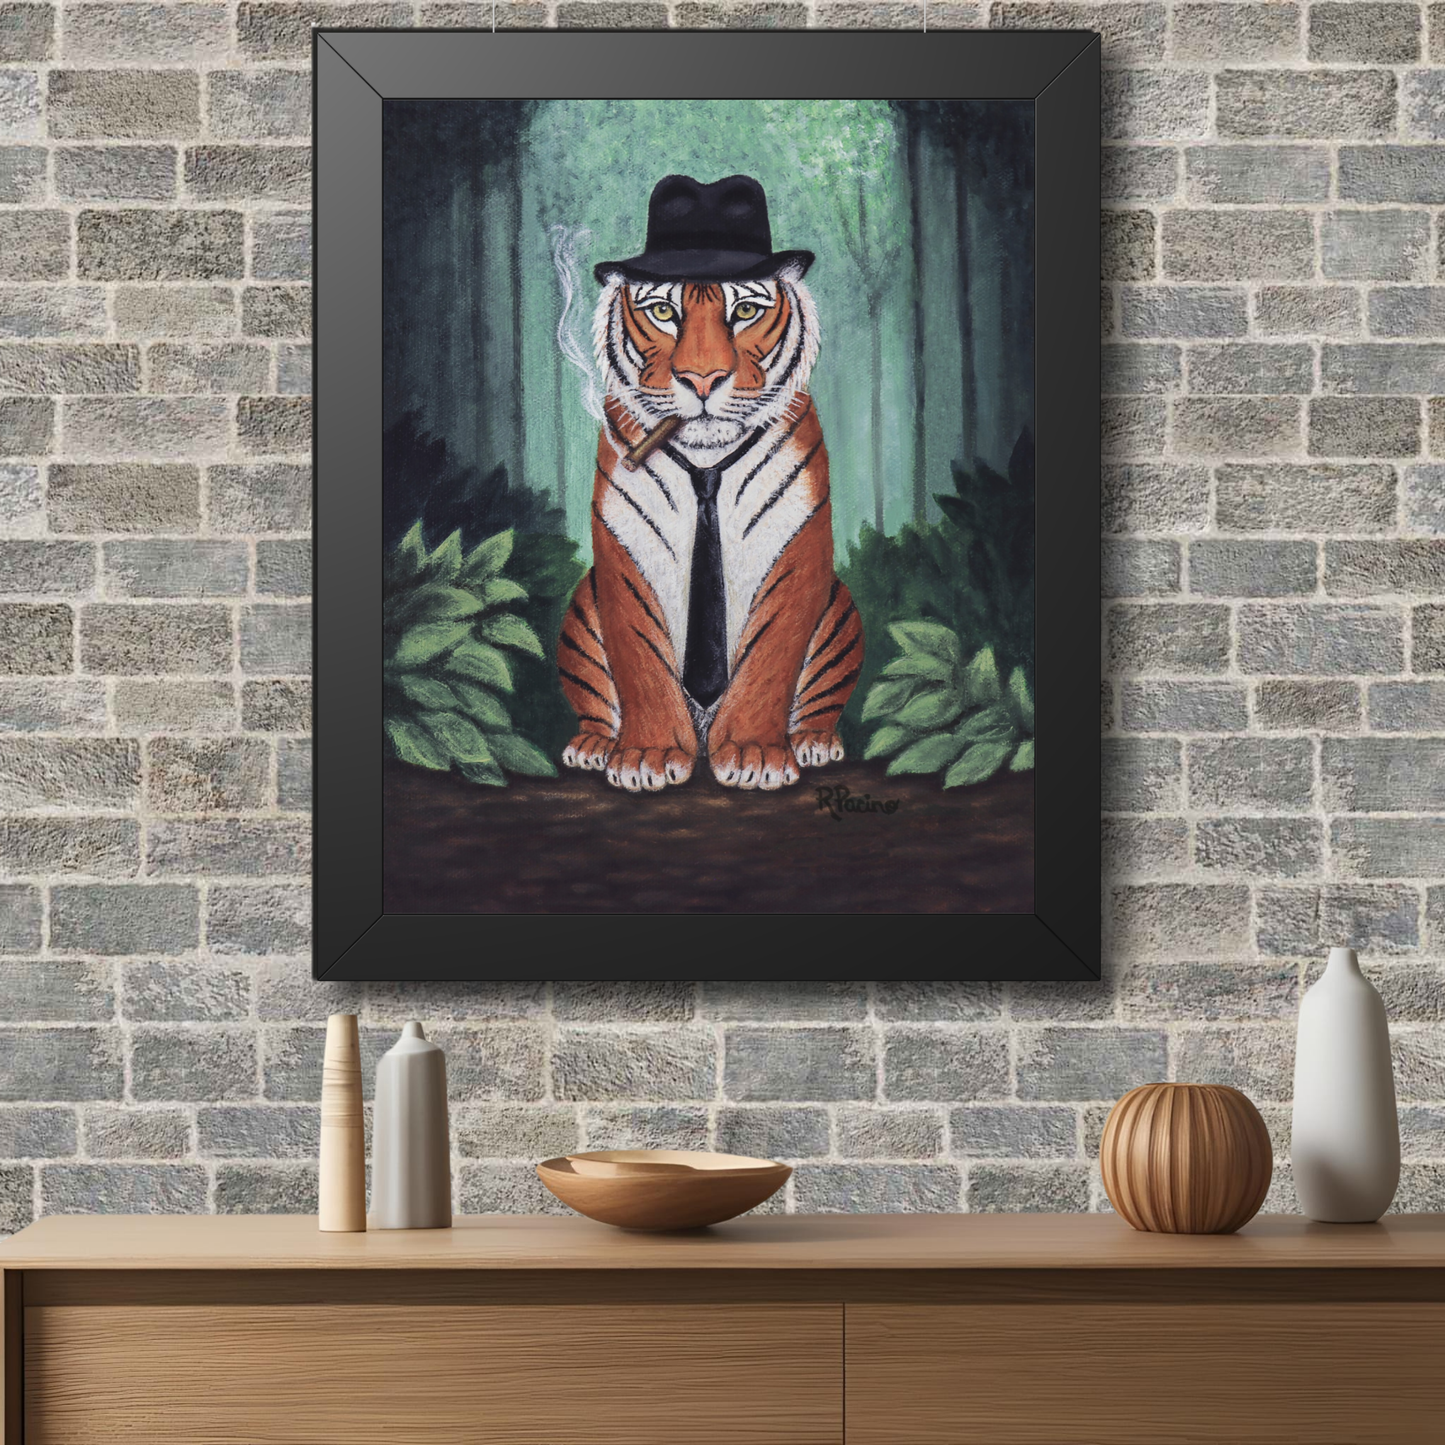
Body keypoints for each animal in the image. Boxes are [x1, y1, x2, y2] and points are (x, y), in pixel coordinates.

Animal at [556, 260, 863, 793]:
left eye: (745, 311)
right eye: (663, 312)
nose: (703, 380)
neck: (706, 463)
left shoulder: (798, 546)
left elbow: (769, 656)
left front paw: (753, 754)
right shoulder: (624, 549)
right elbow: (640, 655)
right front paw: (647, 756)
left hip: (839, 613)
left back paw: (814, 741)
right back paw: (593, 745)